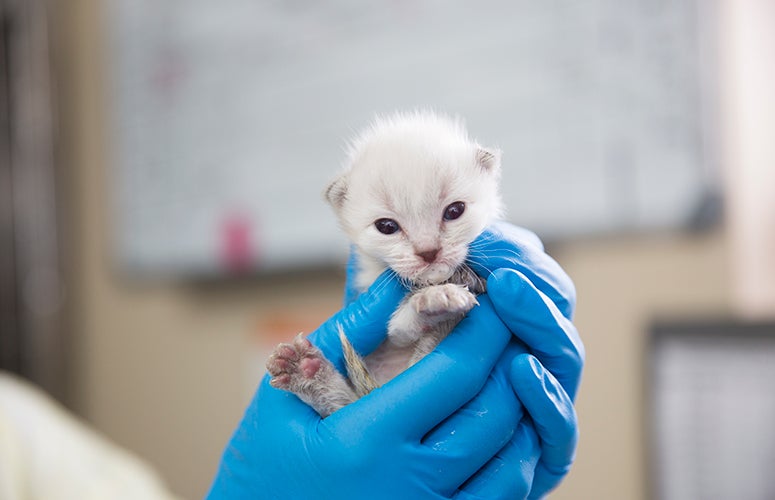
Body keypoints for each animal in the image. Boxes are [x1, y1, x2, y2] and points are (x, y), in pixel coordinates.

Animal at [270, 111, 506, 416]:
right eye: (386, 226)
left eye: (455, 211)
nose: (428, 251)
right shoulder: (390, 333)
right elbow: (399, 328)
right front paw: (435, 301)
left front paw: (442, 298)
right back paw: (308, 374)